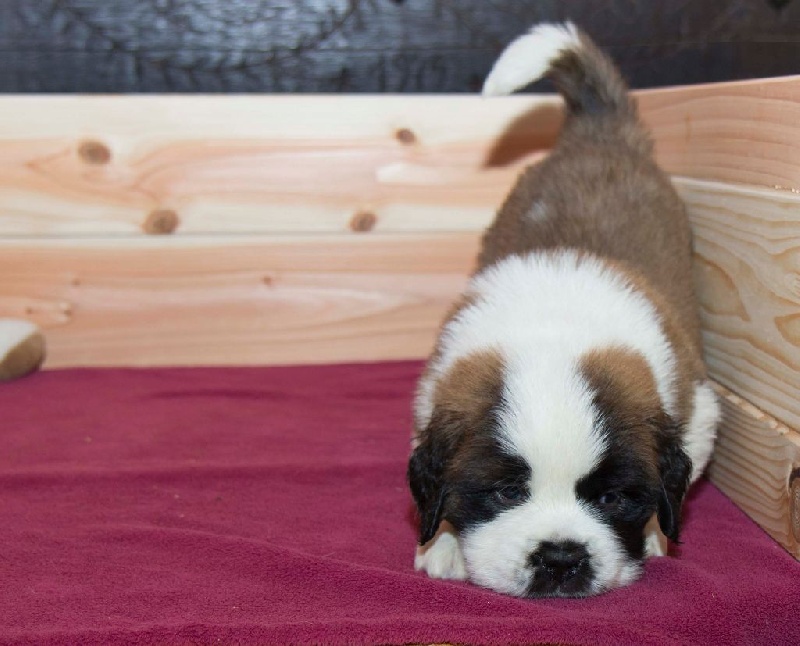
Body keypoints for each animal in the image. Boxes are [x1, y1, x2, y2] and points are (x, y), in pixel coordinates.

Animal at [407, 22, 720, 598]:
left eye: (612, 499)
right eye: (508, 493)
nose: (560, 556)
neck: (550, 331)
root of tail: (599, 131)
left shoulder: (700, 409)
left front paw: (655, 536)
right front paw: (442, 542)